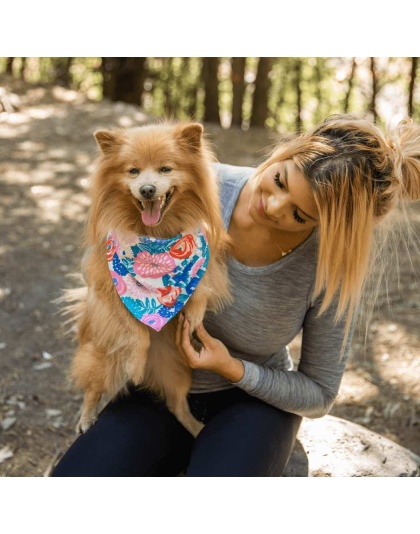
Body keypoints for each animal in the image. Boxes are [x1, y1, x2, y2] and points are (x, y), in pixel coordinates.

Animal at [66, 122, 231, 440]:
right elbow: (136, 331)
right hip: (101, 355)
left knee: (177, 405)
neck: (155, 237)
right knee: (93, 386)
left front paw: (193, 318)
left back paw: (196, 429)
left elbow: (201, 291)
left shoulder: (206, 263)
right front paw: (135, 365)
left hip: (179, 369)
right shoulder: (109, 288)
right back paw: (87, 416)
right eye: (133, 171)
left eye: (165, 169)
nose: (147, 189)